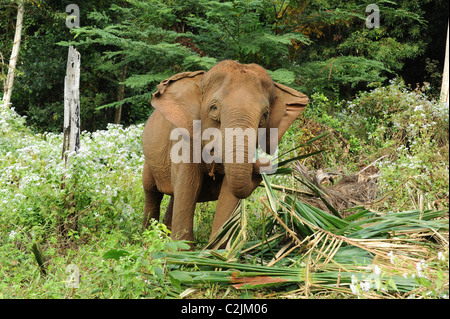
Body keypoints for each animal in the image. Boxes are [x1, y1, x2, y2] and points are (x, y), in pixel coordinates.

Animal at [142, 60, 308, 245]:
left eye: (265, 115)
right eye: (214, 108)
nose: (263, 163)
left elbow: (229, 190)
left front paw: (217, 250)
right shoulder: (183, 139)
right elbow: (189, 185)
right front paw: (182, 250)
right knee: (152, 192)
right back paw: (147, 240)